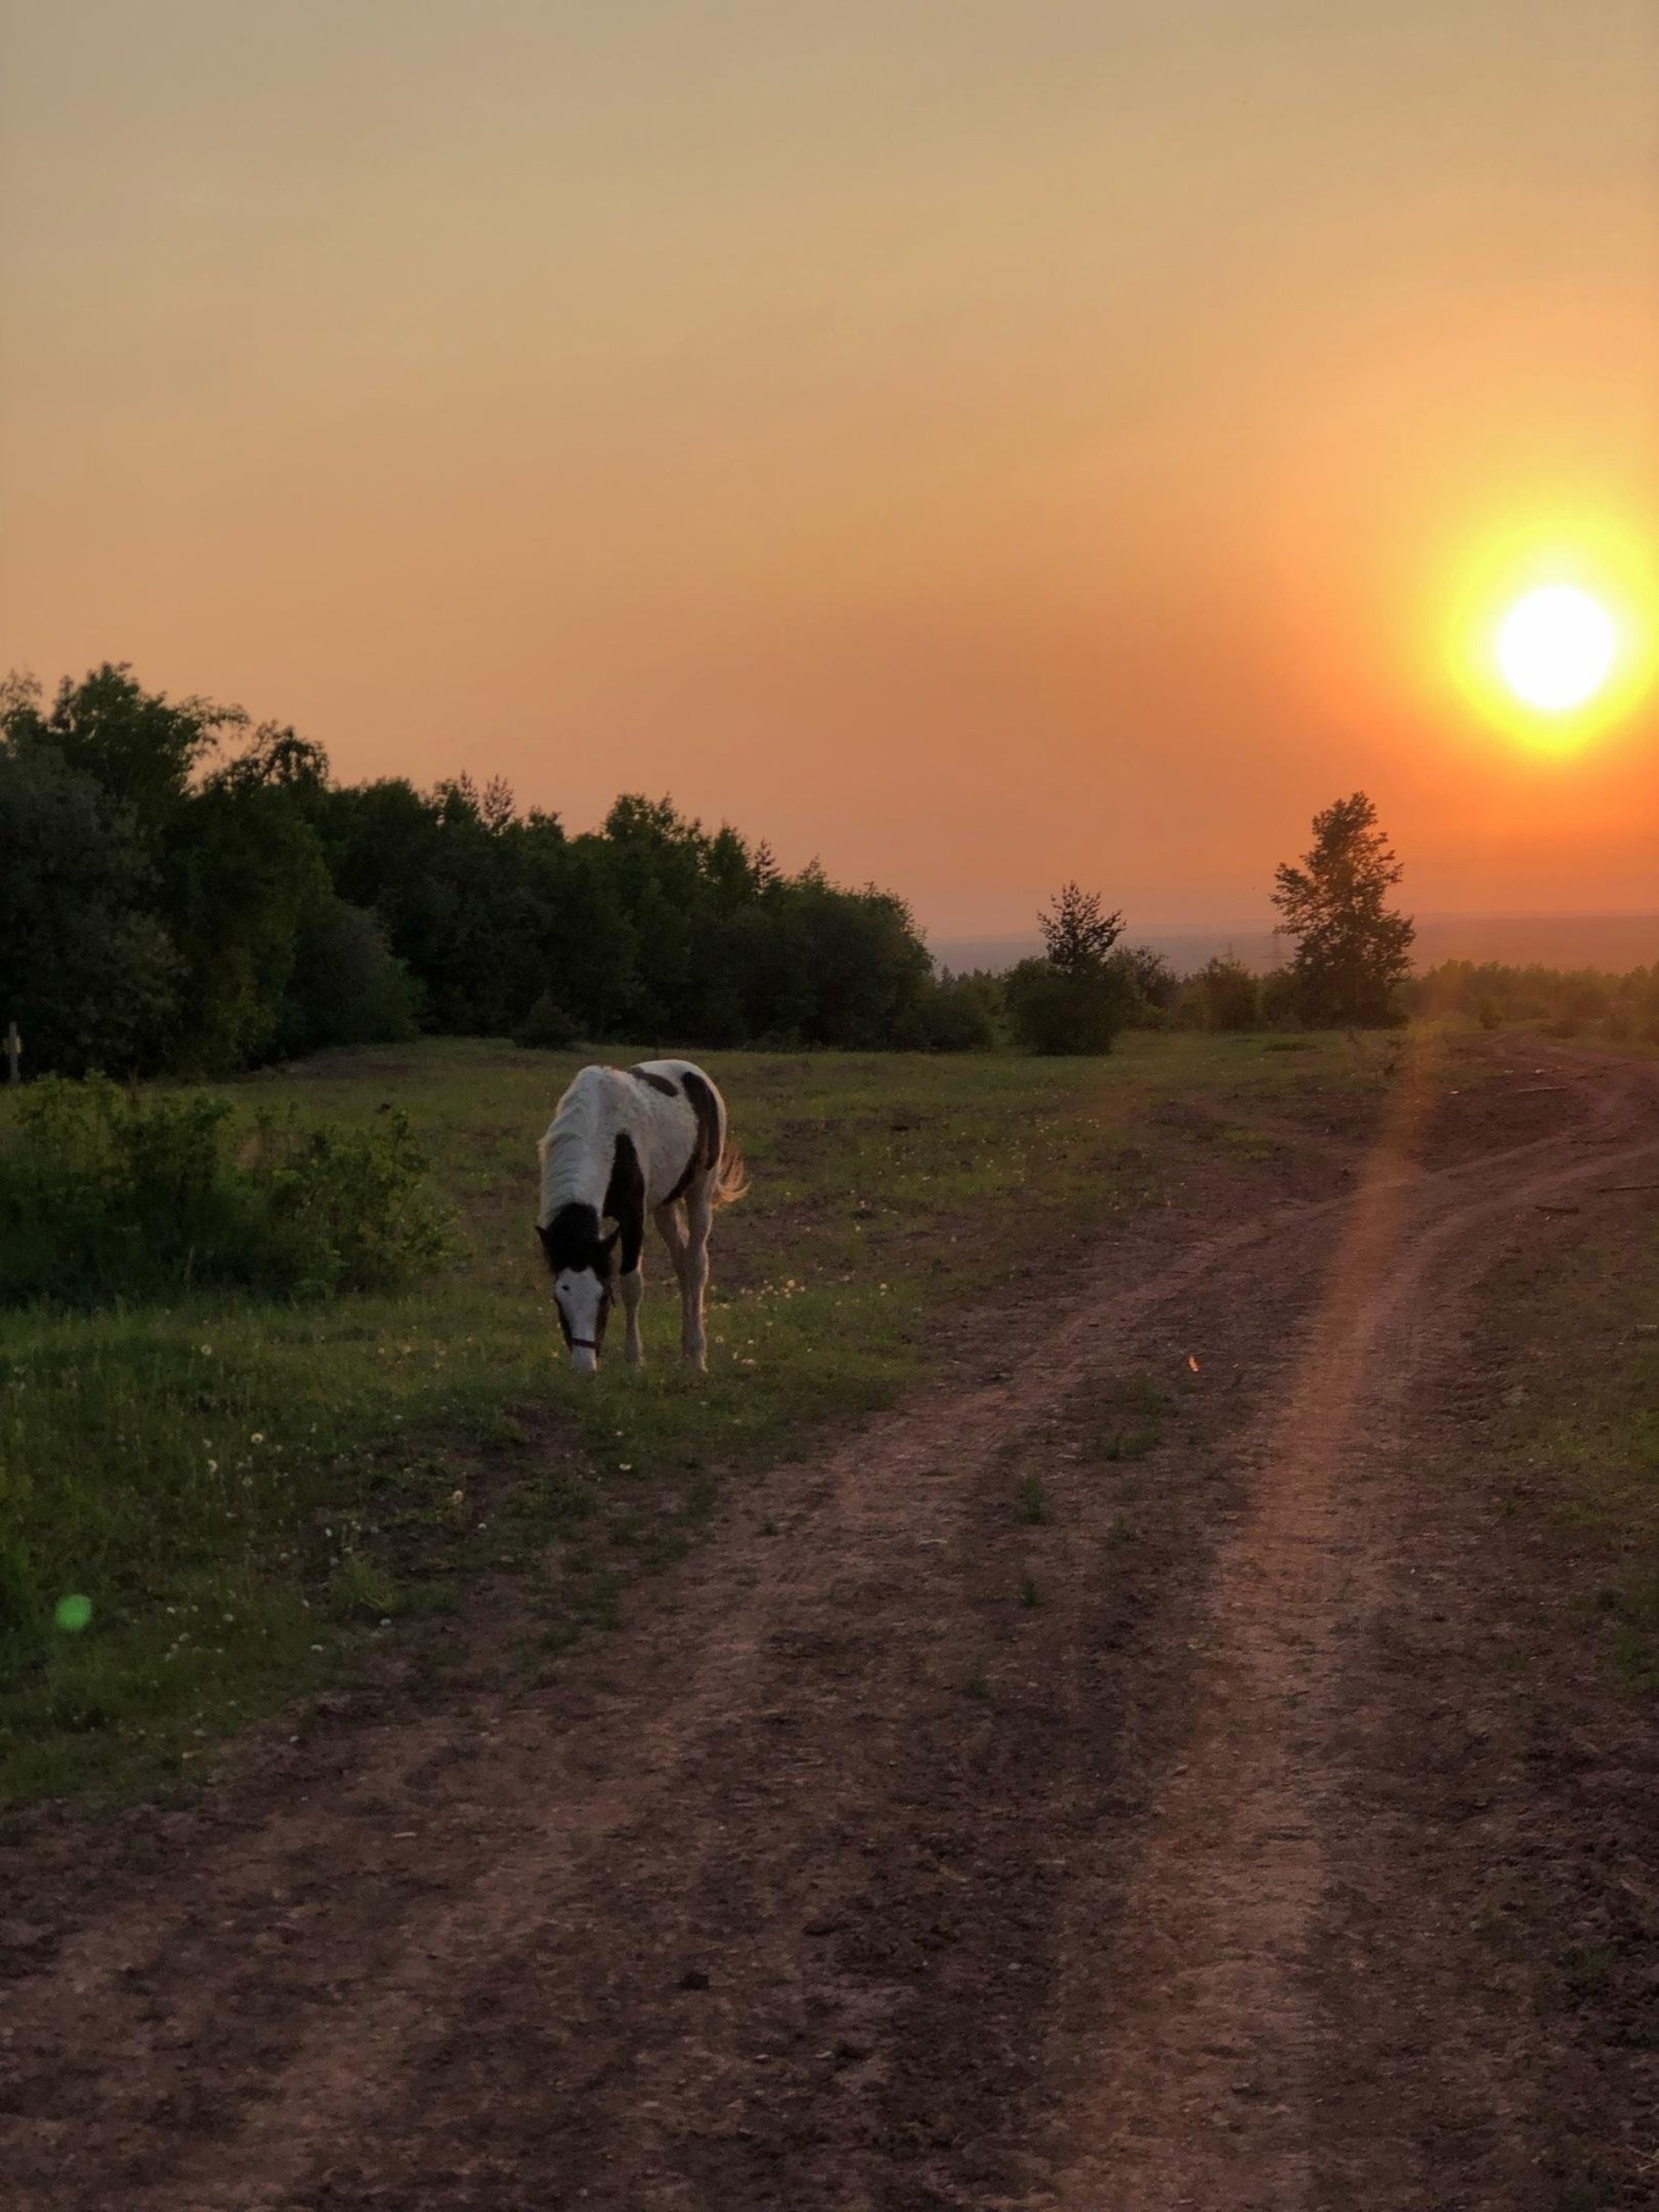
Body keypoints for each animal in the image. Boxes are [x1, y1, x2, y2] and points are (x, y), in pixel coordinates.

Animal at [539, 1061, 747, 1371]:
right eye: (559, 1297)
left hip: (700, 1191)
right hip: (665, 1205)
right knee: (681, 1263)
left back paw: (696, 1358)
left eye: (604, 1297)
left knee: (696, 1265)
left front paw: (634, 1360)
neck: (602, 1130)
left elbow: (632, 1284)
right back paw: (685, 1353)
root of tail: (697, 1074)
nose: (585, 1367)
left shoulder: (632, 1218)